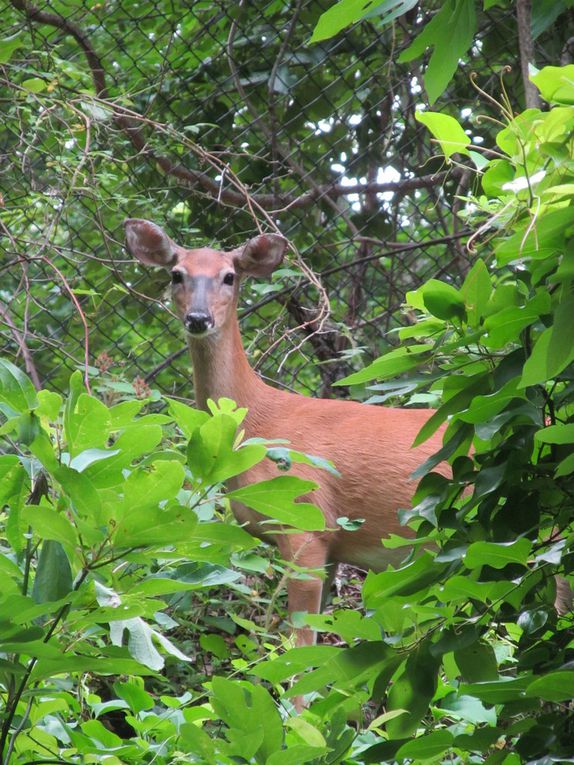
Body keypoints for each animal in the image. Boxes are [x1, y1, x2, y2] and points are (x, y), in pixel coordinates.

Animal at [125, 218, 450, 648]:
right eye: (176, 274)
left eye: (229, 276)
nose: (198, 318)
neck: (258, 421)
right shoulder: (333, 549)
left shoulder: (306, 524)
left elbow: (300, 650)